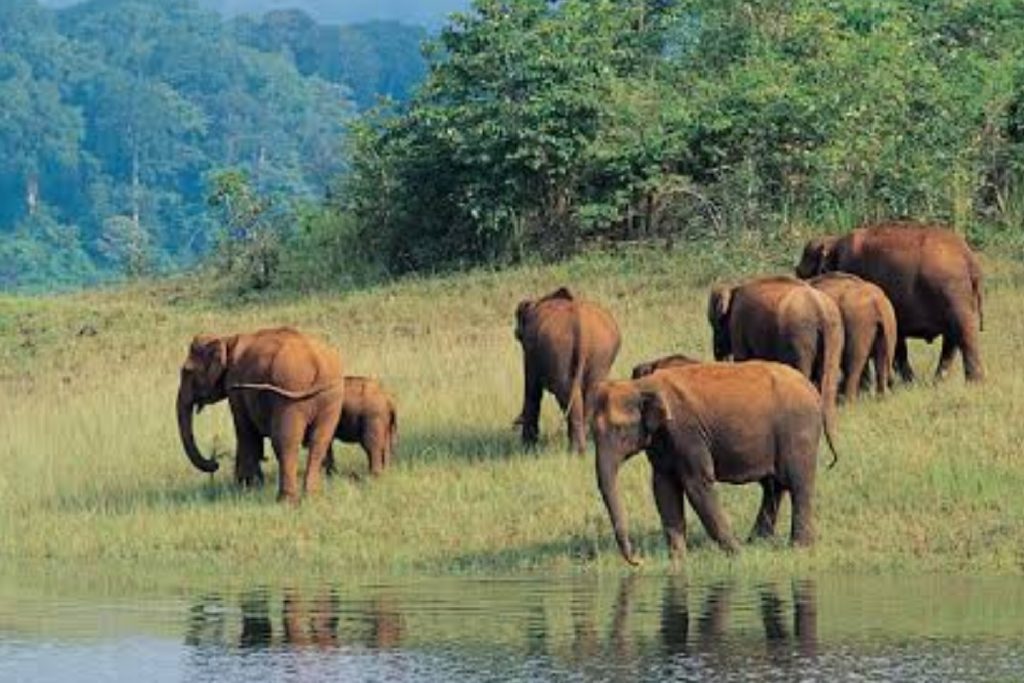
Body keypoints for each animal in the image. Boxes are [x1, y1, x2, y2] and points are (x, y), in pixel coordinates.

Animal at [589, 362, 835, 565]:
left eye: (620, 429)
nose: (638, 561)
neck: (641, 386)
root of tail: (812, 390)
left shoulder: (686, 433)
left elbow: (697, 484)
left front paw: (737, 555)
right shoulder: (661, 442)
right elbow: (663, 488)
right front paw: (678, 561)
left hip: (798, 429)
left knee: (797, 483)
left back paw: (798, 548)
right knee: (774, 486)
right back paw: (757, 541)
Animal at [708, 274, 843, 419]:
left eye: (716, 323)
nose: (720, 353)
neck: (734, 287)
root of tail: (819, 309)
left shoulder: (738, 322)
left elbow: (742, 358)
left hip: (801, 336)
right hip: (834, 334)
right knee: (829, 376)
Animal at [790, 224, 983, 385]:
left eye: (801, 273)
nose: (796, 271)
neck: (834, 241)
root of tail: (970, 259)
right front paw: (908, 383)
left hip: (953, 294)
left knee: (965, 334)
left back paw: (974, 382)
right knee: (952, 340)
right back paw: (939, 381)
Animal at [806, 272, 897, 401]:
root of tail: (878, 302)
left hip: (859, 323)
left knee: (854, 363)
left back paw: (849, 401)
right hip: (889, 324)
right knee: (881, 362)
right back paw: (881, 398)